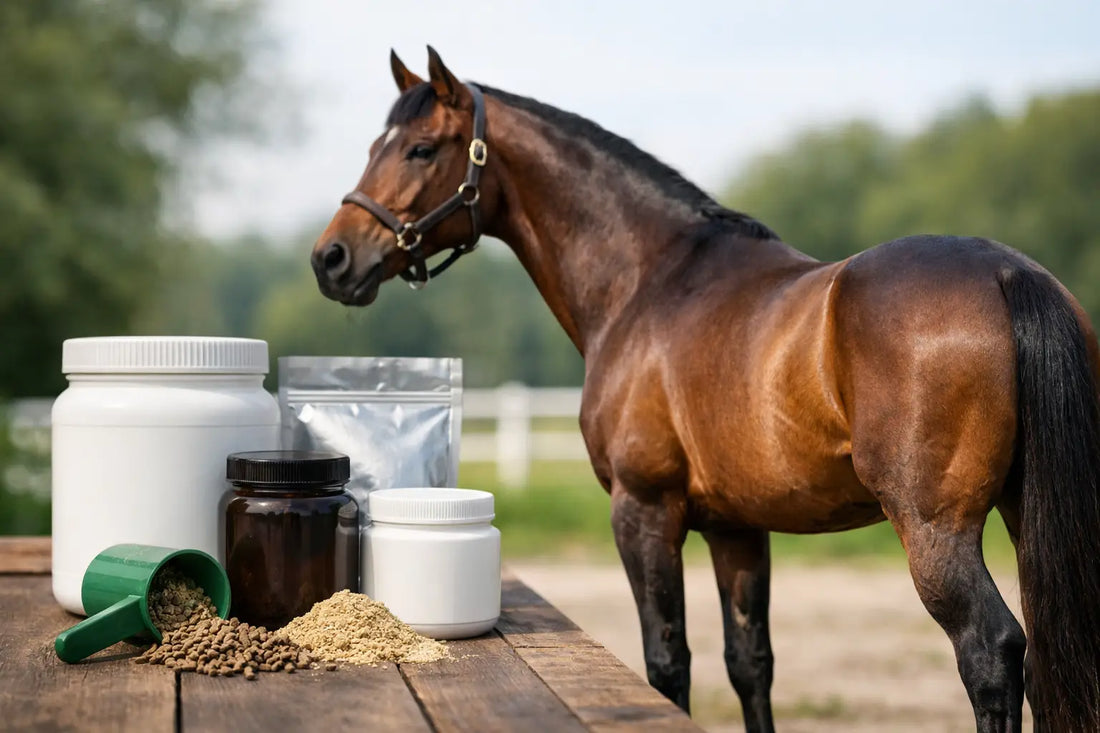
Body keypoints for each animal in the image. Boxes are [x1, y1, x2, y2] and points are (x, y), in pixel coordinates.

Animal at [311, 47, 1100, 732]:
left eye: (420, 149)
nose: (331, 258)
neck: (648, 281)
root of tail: (1005, 272)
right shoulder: (737, 527)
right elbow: (750, 663)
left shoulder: (644, 511)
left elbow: (668, 663)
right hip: (1022, 513)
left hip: (934, 528)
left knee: (990, 653)